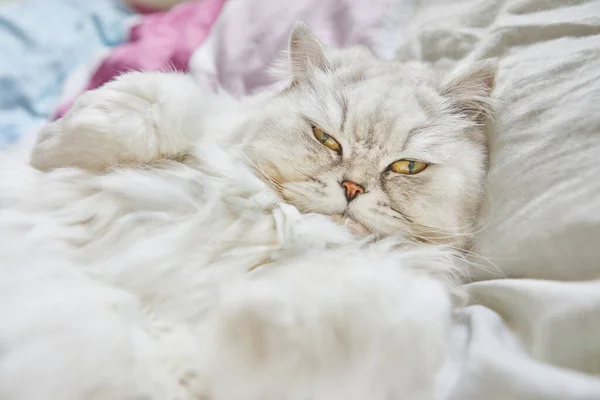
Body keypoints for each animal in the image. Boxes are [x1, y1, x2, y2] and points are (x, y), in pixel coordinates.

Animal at [0, 22, 494, 400]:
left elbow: (371, 313)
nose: (352, 187)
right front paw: (49, 146)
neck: (286, 222)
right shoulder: (183, 108)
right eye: (326, 139)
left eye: (407, 167)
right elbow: (165, 94)